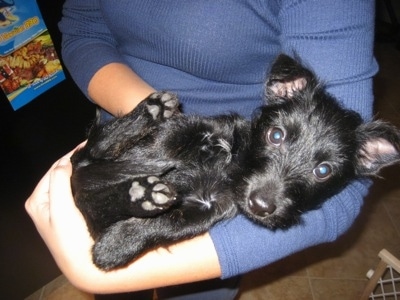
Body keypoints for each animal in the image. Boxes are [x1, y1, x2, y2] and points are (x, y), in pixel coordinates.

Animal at [70, 54, 398, 272]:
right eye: (275, 135)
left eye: (324, 170)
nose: (261, 205)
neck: (233, 169)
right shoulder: (194, 128)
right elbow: (158, 148)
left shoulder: (209, 208)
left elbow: (165, 225)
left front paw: (120, 240)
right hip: (96, 152)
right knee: (88, 160)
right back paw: (151, 112)